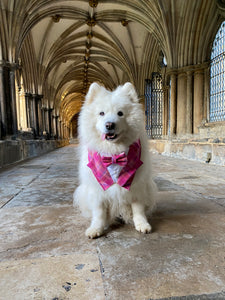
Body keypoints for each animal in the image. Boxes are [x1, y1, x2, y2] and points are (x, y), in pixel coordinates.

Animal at [73, 82, 156, 239]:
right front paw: (96, 228)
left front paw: (142, 224)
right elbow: (99, 212)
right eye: (101, 113)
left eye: (120, 113)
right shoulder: (97, 190)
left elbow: (138, 209)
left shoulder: (138, 185)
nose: (109, 125)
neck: (114, 154)